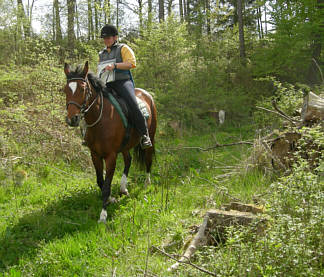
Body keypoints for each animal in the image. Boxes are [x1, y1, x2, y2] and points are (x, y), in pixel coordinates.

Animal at [63, 61, 157, 222]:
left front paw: (103, 215)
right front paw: (111, 199)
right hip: (125, 145)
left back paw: (146, 184)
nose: (72, 119)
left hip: (150, 137)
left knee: (148, 159)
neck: (101, 119)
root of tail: (147, 94)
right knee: (128, 160)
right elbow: (101, 181)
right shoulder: (95, 155)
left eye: (83, 89)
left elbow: (106, 186)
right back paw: (123, 188)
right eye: (64, 90)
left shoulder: (111, 156)